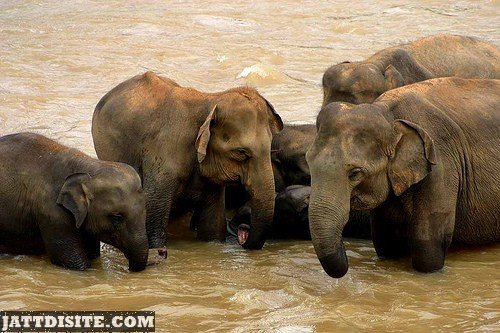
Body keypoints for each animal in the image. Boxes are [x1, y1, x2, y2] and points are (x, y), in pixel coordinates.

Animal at [0, 132, 148, 270]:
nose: (126, 268)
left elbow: (92, 253)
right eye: (117, 217)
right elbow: (74, 263)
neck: (86, 166)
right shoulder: (53, 215)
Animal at [92, 72, 284, 249]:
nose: (243, 234)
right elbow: (153, 222)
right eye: (241, 152)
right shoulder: (163, 158)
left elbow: (212, 228)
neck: (210, 100)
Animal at [308, 78, 500, 278]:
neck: (387, 114)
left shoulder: (441, 164)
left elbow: (428, 245)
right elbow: (387, 239)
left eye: (355, 173)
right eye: (308, 162)